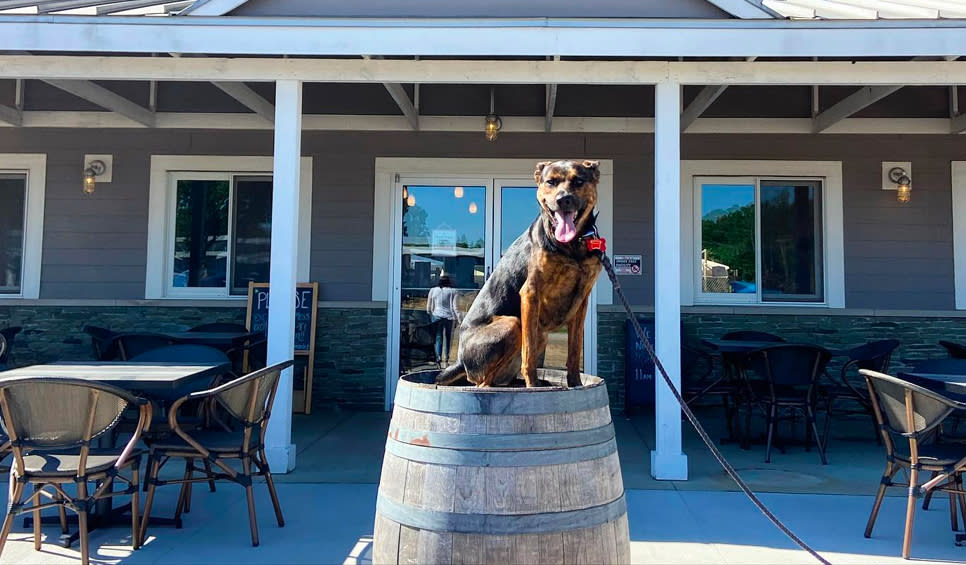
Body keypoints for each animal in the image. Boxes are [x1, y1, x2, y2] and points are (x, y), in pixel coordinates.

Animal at [438, 159, 604, 388]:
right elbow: (530, 354)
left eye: (578, 181)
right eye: (551, 182)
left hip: (538, 333)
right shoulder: (531, 293)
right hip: (513, 323)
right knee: (483, 384)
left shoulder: (581, 301)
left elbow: (574, 351)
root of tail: (461, 361)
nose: (564, 200)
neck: (572, 246)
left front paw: (576, 384)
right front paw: (532, 386)